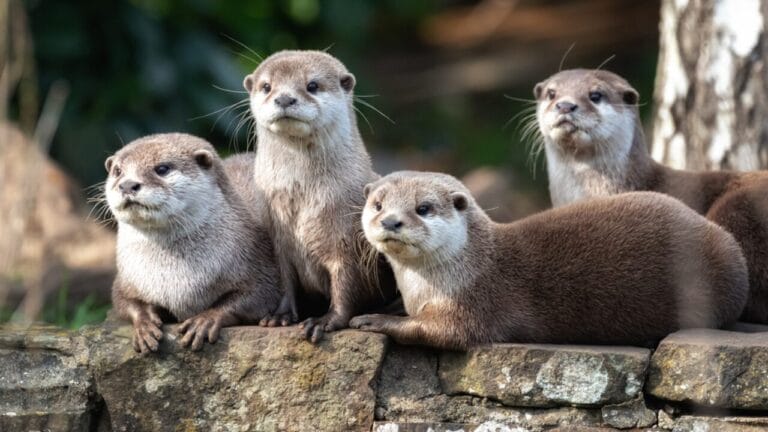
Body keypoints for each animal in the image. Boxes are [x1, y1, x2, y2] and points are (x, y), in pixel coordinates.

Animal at [105, 133, 280, 353]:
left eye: (162, 168)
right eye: (117, 171)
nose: (127, 185)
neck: (177, 280)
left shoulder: (256, 259)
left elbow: (259, 295)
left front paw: (205, 319)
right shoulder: (127, 278)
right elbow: (123, 300)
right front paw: (144, 324)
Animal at [243, 50, 396, 342]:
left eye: (312, 85)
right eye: (267, 86)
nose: (284, 98)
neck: (304, 201)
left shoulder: (348, 242)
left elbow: (347, 286)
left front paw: (326, 321)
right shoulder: (278, 240)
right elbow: (285, 282)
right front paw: (280, 315)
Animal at [349, 171, 749, 350]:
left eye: (423, 208)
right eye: (378, 204)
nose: (390, 221)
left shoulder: (475, 304)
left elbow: (442, 332)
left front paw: (374, 319)